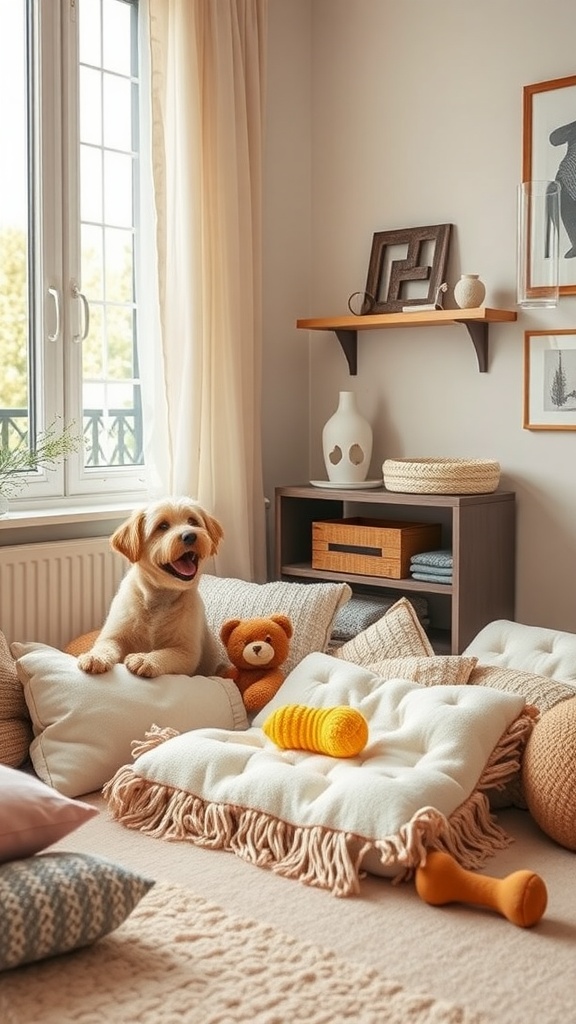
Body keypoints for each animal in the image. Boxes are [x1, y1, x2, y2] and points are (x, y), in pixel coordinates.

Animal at [77, 497, 224, 679]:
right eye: (163, 526)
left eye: (192, 521)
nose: (190, 535)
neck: (159, 598)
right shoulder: (112, 637)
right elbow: (105, 646)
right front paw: (95, 656)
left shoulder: (186, 653)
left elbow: (164, 654)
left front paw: (146, 660)